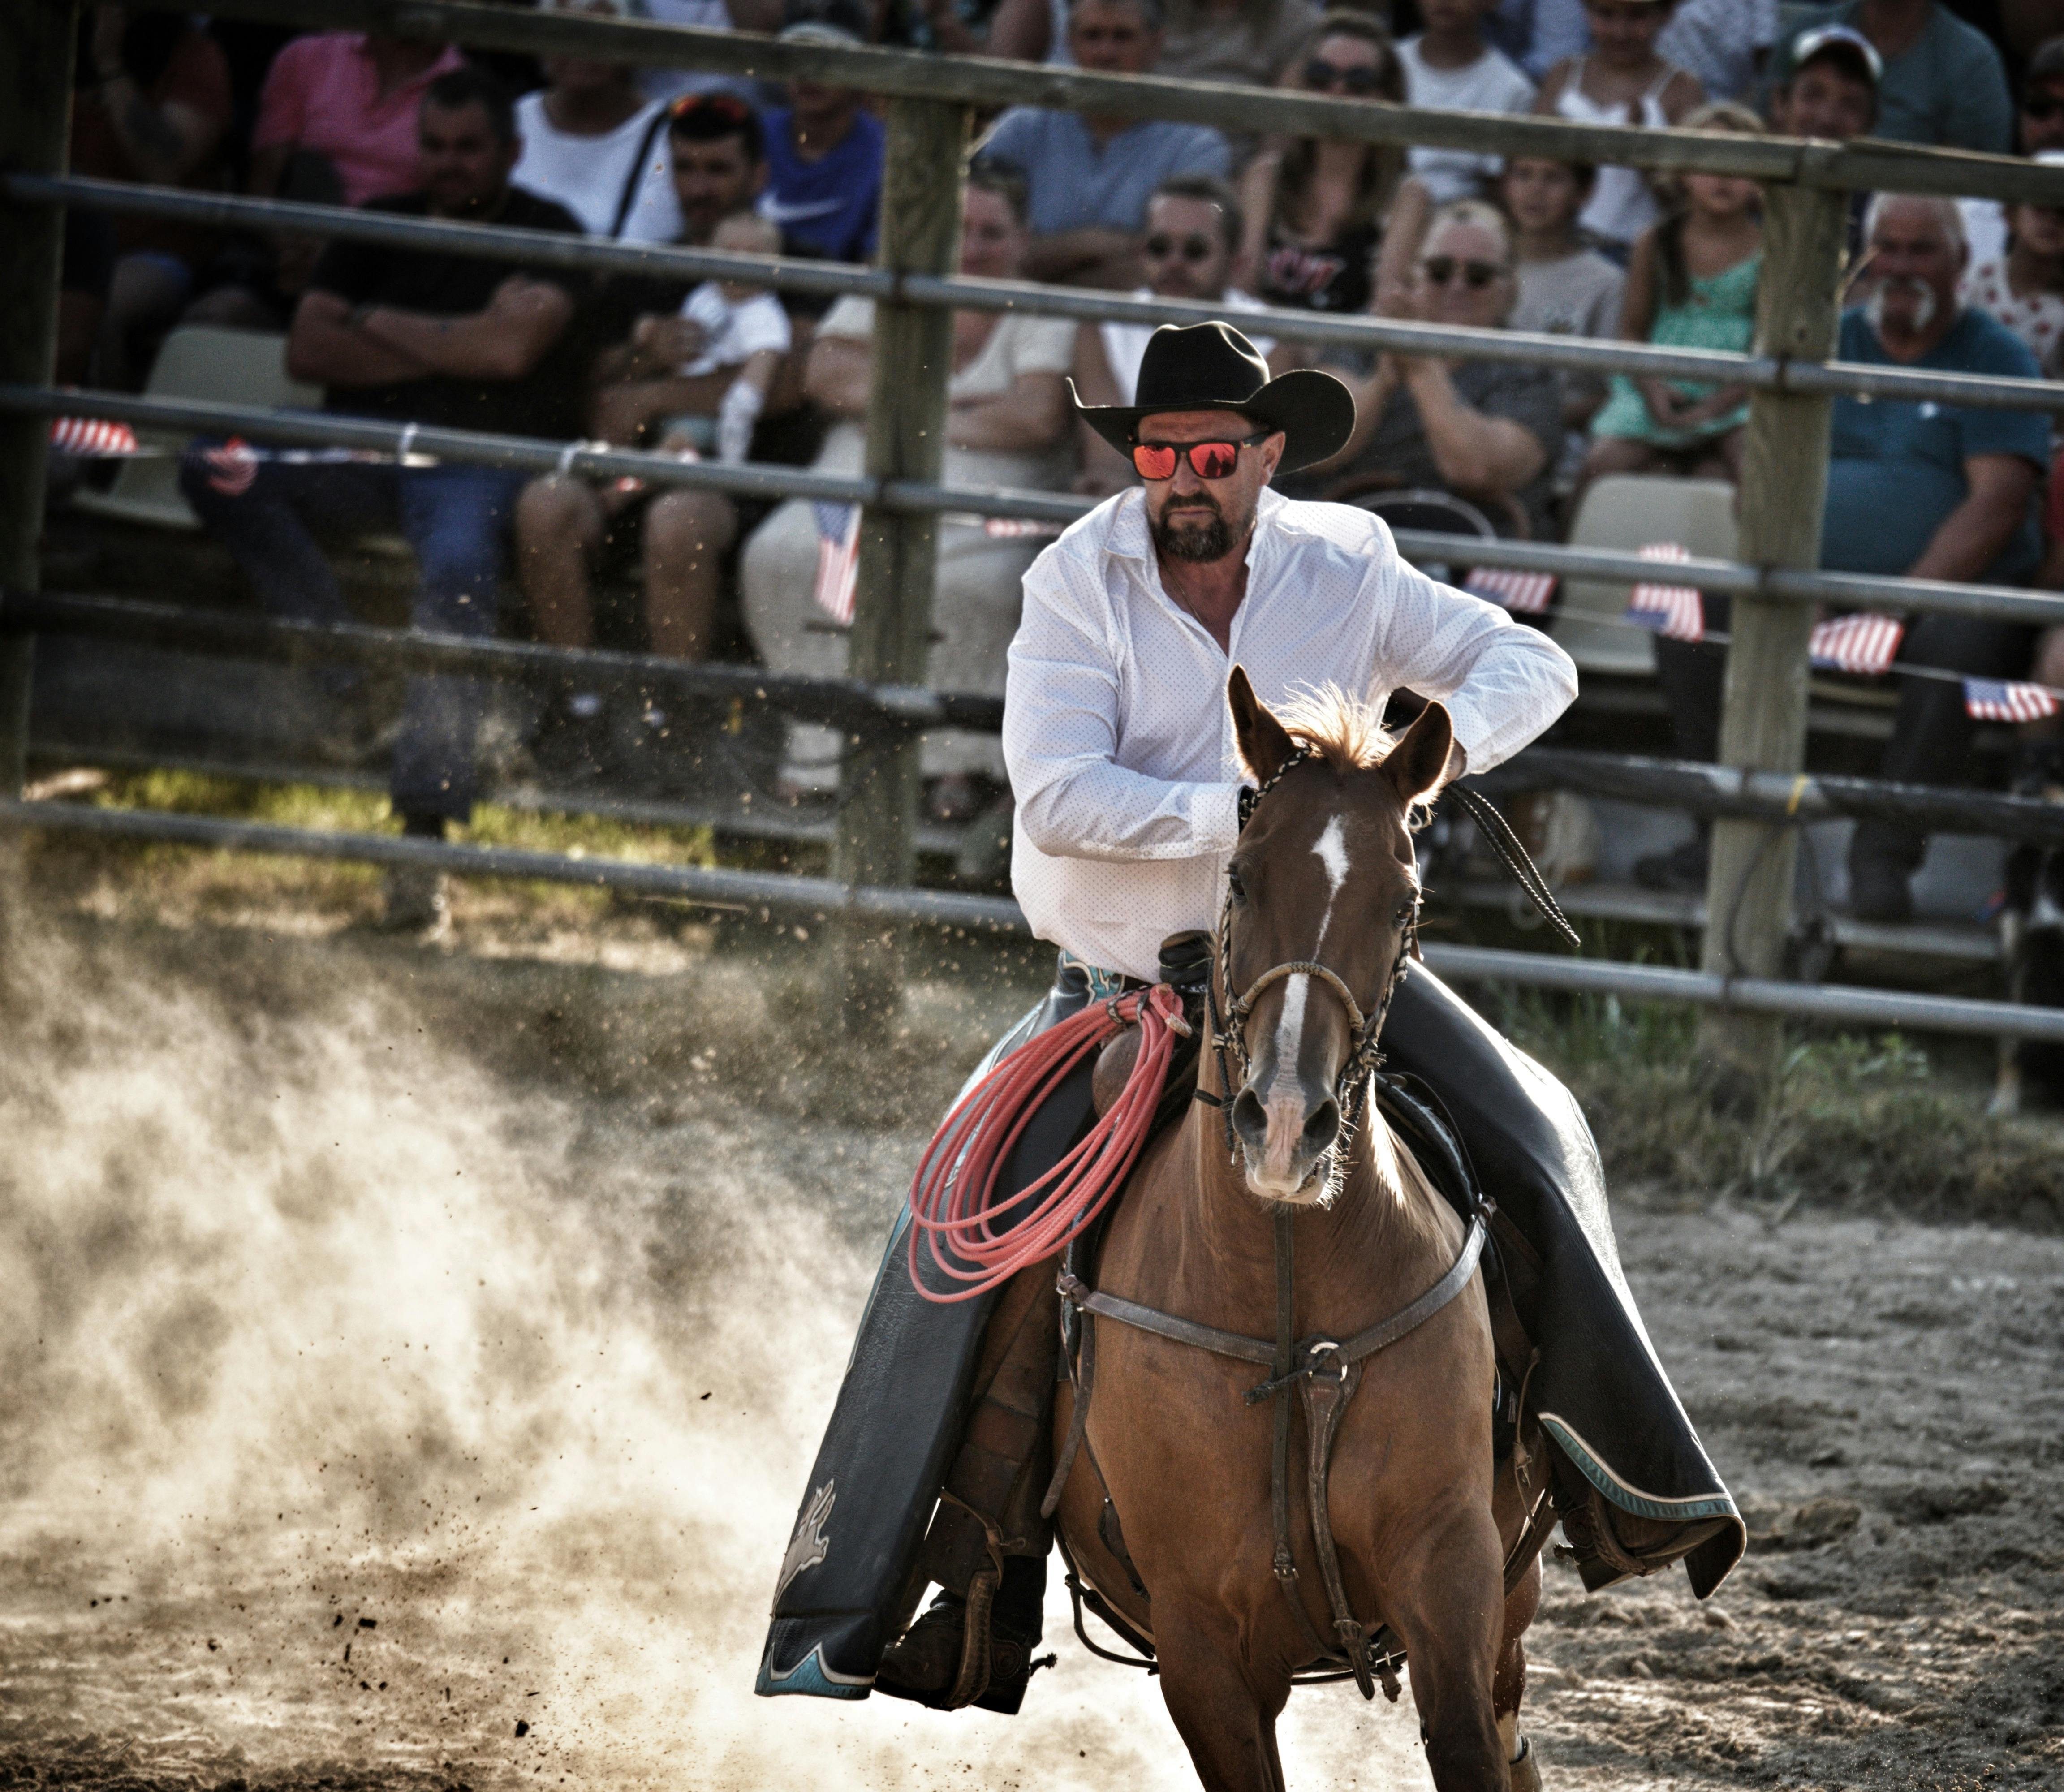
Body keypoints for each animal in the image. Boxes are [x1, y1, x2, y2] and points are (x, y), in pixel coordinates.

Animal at [1037, 669, 1542, 1792]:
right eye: (1238, 878)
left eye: (1403, 901)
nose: (1281, 1121)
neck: (1288, 1304)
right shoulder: (1202, 1655)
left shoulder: (1451, 1580)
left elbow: (1471, 1741)